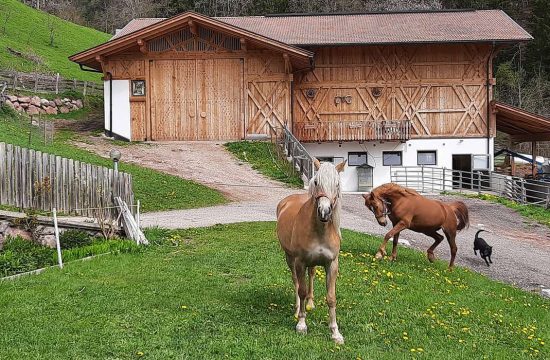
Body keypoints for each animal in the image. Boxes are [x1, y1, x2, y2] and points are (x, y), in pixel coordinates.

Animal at [278, 159, 348, 344]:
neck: (320, 230)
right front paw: (301, 324)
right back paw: (297, 310)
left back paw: (310, 303)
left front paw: (335, 332)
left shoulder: (332, 264)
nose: (324, 212)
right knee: (296, 282)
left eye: (337, 184)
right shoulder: (300, 262)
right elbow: (301, 290)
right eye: (316, 182)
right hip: (290, 259)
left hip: (314, 263)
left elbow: (331, 297)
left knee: (311, 275)